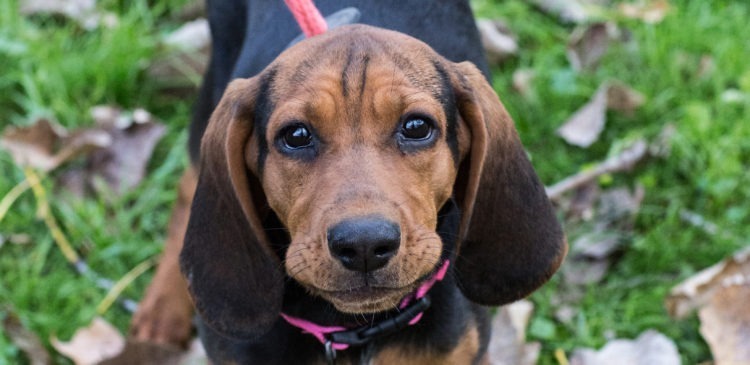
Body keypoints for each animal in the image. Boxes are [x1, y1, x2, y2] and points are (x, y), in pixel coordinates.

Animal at [129, 1, 568, 362]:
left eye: (417, 127)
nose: (364, 246)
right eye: (296, 136)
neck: (357, 331)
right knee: (187, 185)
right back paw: (161, 309)